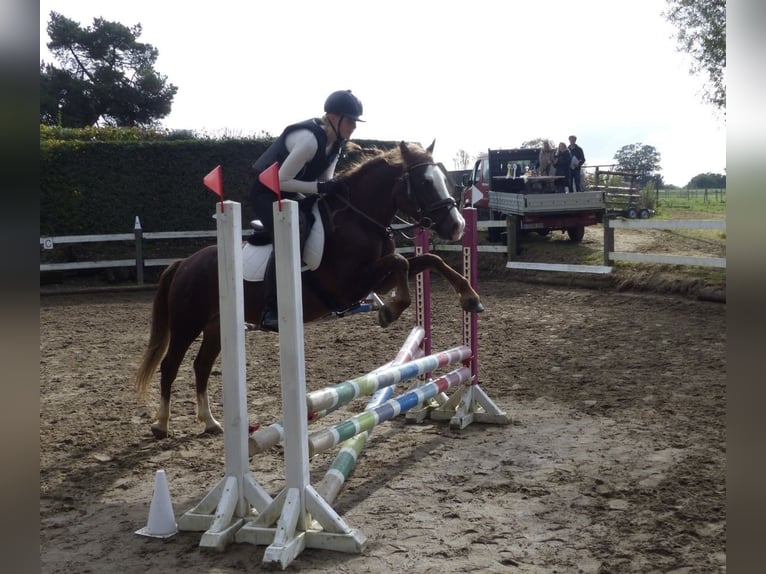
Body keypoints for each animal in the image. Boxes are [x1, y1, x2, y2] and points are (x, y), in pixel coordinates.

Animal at [134, 140, 484, 439]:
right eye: (424, 182)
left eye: (443, 179)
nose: (457, 226)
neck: (359, 220)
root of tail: (185, 263)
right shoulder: (347, 286)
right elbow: (399, 262)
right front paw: (389, 311)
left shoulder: (377, 278)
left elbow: (430, 260)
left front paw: (470, 298)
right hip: (187, 323)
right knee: (171, 365)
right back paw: (161, 424)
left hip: (217, 327)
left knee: (201, 366)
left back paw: (210, 422)